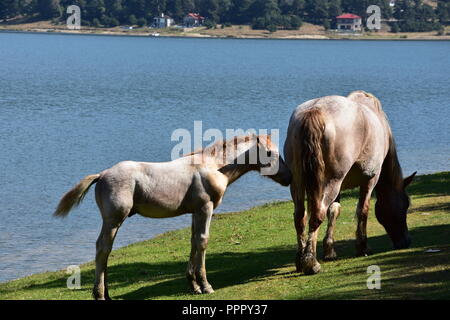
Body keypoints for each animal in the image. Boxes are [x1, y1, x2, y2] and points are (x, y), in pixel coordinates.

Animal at [53, 132, 292, 300]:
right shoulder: (206, 208)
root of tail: (102, 175)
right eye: (270, 153)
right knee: (103, 249)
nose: (288, 176)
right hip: (113, 220)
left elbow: (193, 242)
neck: (213, 167)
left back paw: (107, 293)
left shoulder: (196, 212)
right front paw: (206, 285)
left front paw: (193, 285)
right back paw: (100, 294)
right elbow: (203, 242)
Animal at [284, 90, 416, 276]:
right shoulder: (370, 179)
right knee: (317, 214)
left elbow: (334, 211)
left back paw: (300, 260)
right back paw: (311, 262)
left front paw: (330, 250)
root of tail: (314, 111)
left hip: (299, 182)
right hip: (331, 182)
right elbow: (363, 210)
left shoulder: (337, 188)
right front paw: (362, 247)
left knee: (300, 217)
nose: (405, 241)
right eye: (405, 205)